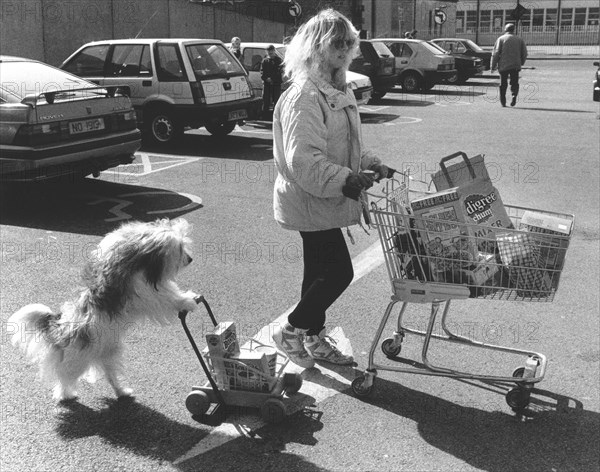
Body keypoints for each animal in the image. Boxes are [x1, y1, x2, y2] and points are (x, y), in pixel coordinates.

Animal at [7, 219, 199, 400]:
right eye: (180, 248)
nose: (190, 259)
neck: (137, 258)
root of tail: (59, 330)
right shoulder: (147, 293)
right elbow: (168, 298)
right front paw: (188, 301)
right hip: (77, 360)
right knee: (64, 377)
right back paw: (65, 394)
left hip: (108, 353)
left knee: (110, 376)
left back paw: (122, 391)